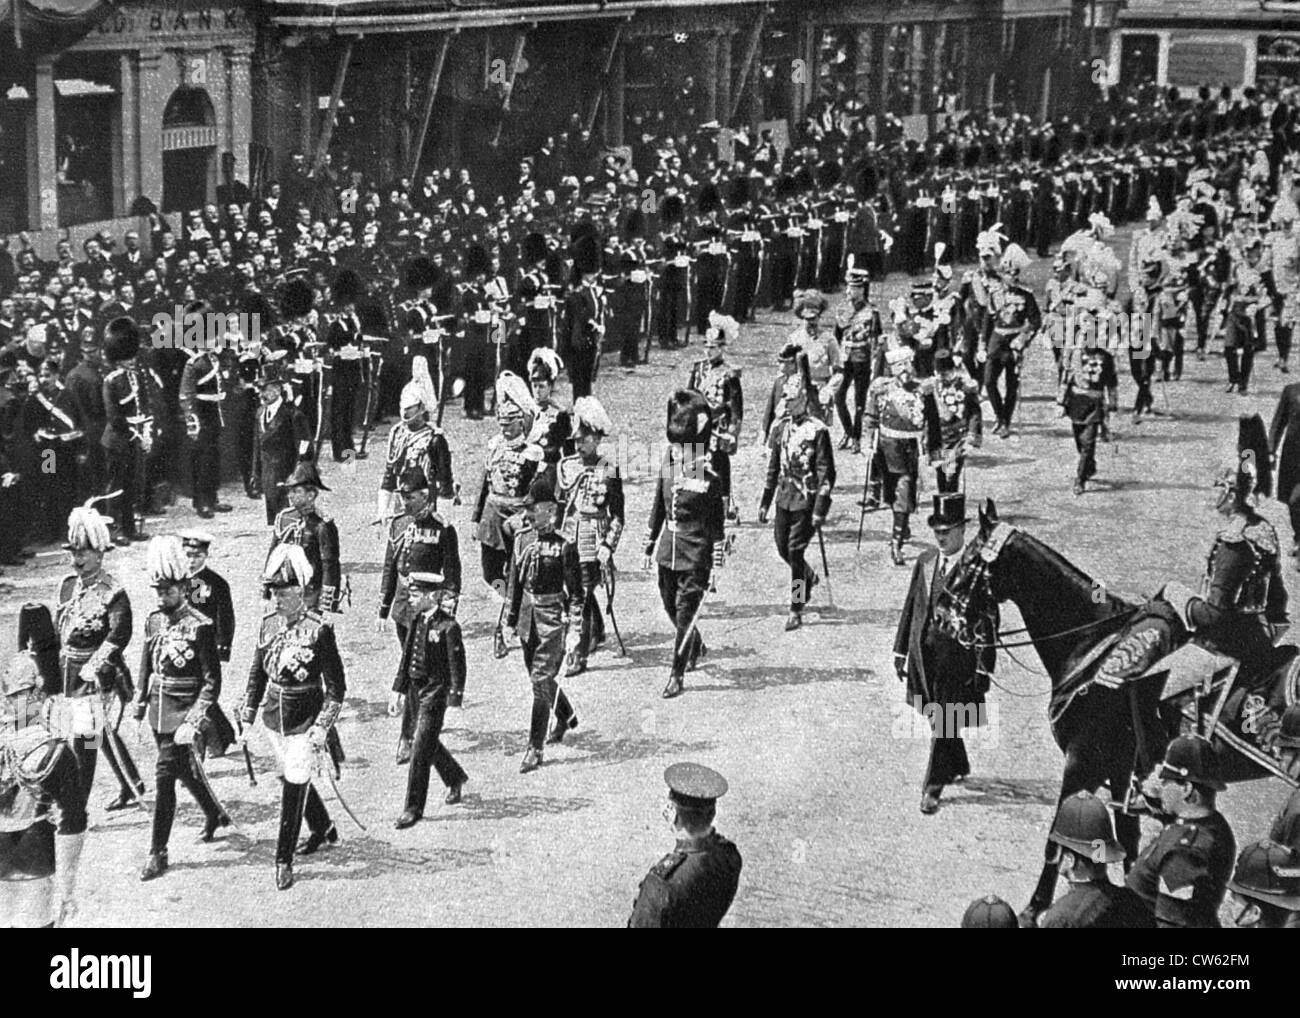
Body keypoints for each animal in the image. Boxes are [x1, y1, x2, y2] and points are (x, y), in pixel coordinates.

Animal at [935, 499, 1300, 925]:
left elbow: (1058, 840)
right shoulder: (1120, 771)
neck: (1090, 641)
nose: (940, 613)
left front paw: (1033, 907)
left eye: (969, 559)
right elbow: (1127, 843)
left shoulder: (1083, 764)